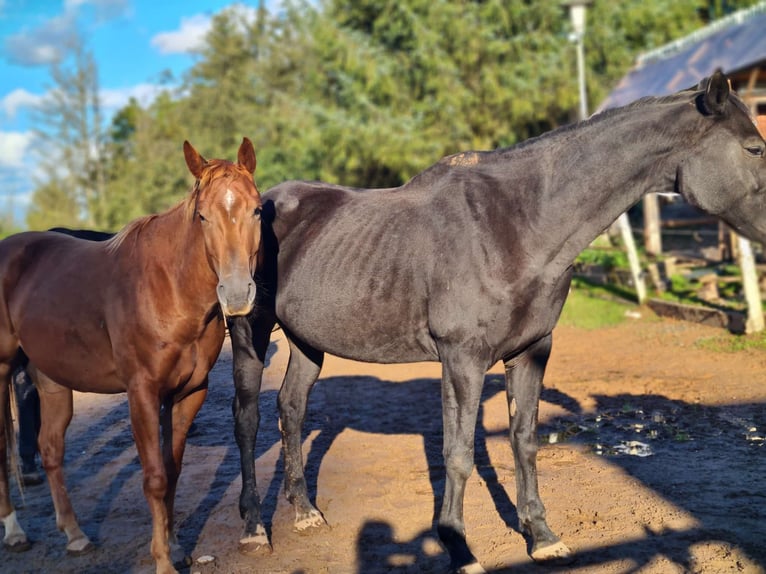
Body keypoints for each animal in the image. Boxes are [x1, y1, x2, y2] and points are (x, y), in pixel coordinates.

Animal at [0, 138, 264, 574]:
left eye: (257, 209)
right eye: (203, 216)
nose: (237, 294)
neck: (168, 288)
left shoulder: (189, 392)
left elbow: (172, 470)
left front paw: (174, 545)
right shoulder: (142, 392)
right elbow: (155, 477)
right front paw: (163, 561)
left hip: (52, 378)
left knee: (51, 448)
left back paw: (75, 535)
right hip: (3, 371)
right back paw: (14, 531)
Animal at [231, 73, 766, 574]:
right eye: (755, 148)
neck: (516, 225)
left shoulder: (532, 351)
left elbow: (524, 441)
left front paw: (541, 535)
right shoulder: (462, 360)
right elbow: (458, 454)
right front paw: (457, 546)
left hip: (306, 341)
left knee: (292, 409)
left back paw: (304, 511)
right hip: (248, 334)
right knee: (247, 419)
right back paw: (255, 528)